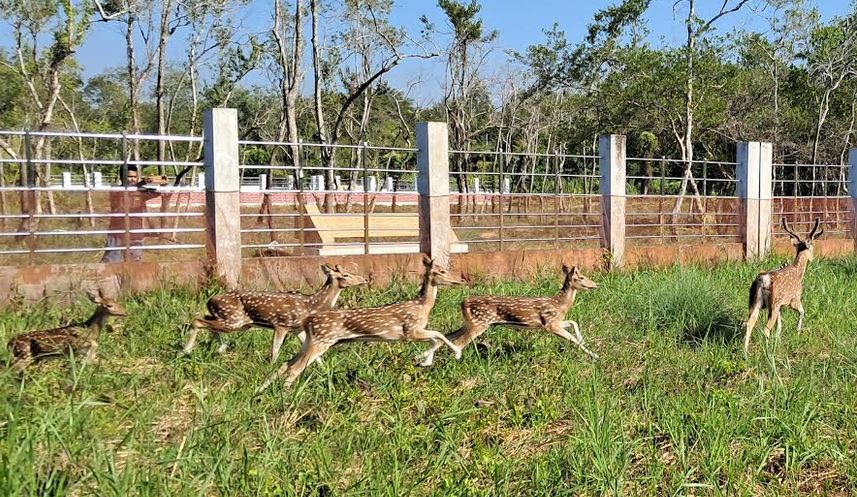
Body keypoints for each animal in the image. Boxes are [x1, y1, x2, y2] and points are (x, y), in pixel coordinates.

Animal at [182, 264, 368, 362]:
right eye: (345, 275)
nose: (365, 279)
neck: (311, 305)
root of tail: (209, 300)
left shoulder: (297, 328)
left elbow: (311, 352)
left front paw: (323, 368)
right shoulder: (281, 324)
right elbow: (275, 348)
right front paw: (272, 363)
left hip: (235, 322)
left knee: (206, 320)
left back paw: (220, 348)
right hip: (233, 320)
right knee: (197, 320)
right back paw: (187, 350)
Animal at [254, 255, 465, 394]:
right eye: (442, 271)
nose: (460, 280)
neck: (423, 306)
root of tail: (309, 321)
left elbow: (437, 337)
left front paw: (424, 359)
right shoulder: (410, 330)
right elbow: (439, 334)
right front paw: (455, 353)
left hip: (311, 341)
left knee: (287, 363)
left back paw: (260, 391)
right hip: (322, 341)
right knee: (294, 368)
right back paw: (285, 396)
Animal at [416, 263, 600, 367]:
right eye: (582, 277)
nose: (596, 284)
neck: (560, 304)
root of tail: (463, 303)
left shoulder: (554, 322)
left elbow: (573, 322)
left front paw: (585, 342)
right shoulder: (550, 323)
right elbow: (572, 337)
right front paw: (594, 355)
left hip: (470, 323)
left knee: (446, 337)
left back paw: (423, 358)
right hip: (479, 323)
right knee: (458, 343)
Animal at [743, 217, 823, 355]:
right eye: (812, 245)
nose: (813, 258)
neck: (798, 272)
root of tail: (763, 280)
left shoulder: (781, 305)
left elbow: (779, 327)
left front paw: (778, 340)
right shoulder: (794, 298)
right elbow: (802, 311)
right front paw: (797, 330)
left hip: (754, 302)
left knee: (749, 323)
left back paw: (745, 353)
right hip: (774, 303)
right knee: (766, 328)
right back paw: (768, 351)